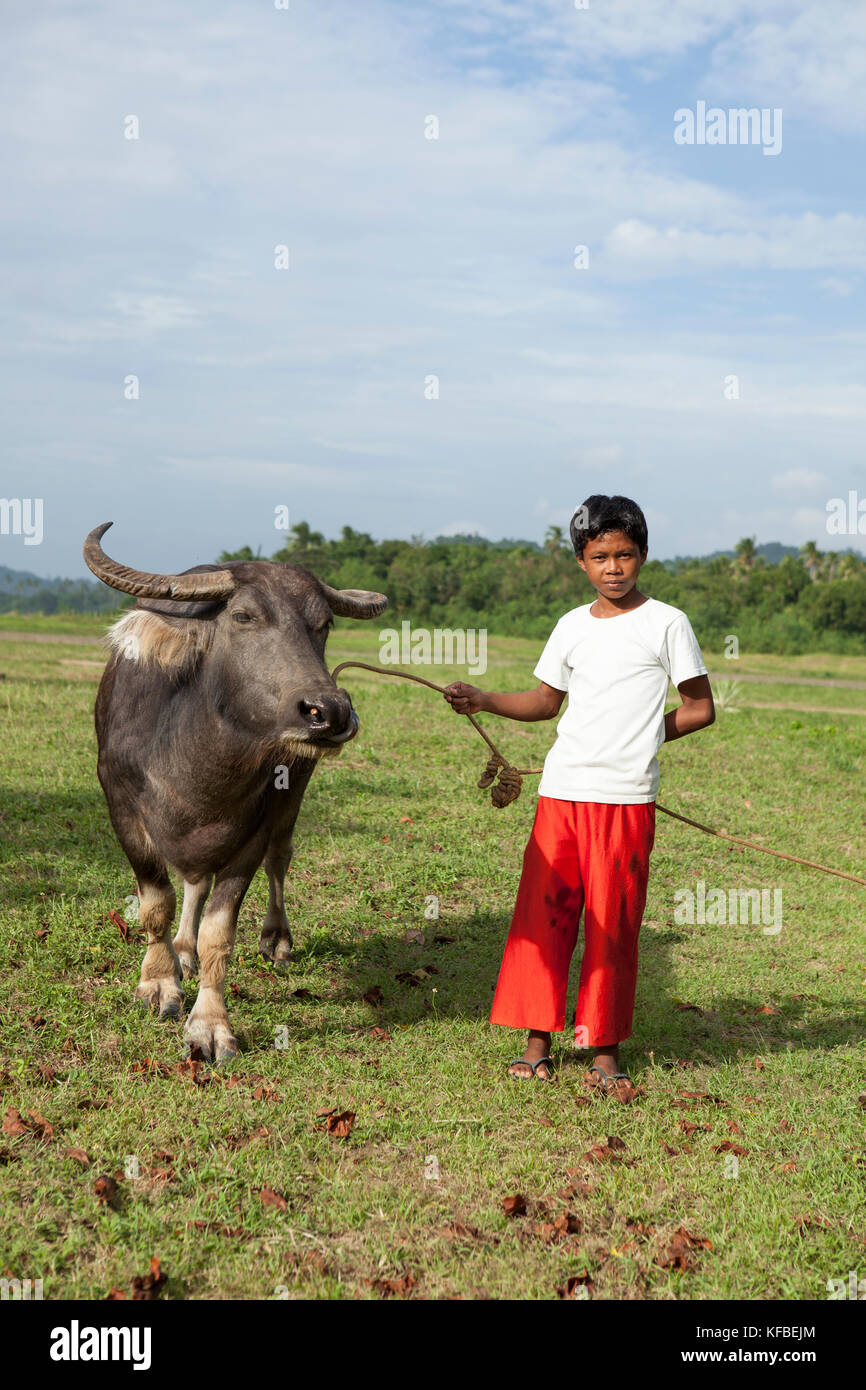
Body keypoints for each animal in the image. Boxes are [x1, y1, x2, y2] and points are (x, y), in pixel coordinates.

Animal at [84, 525, 389, 1056]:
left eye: (324, 623)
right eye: (244, 616)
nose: (328, 711)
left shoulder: (255, 826)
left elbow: (219, 931)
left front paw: (209, 1024)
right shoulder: (120, 806)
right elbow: (157, 902)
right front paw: (159, 982)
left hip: (295, 792)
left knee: (279, 859)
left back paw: (275, 939)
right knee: (193, 883)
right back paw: (181, 952)